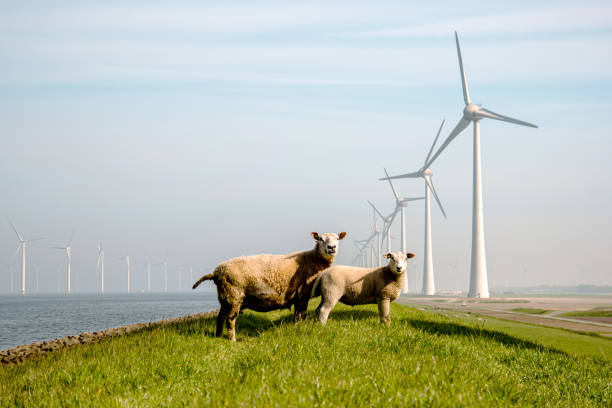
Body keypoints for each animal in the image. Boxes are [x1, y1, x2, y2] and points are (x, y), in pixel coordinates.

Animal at [192, 231, 344, 340]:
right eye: (320, 239)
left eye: (337, 238)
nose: (332, 247)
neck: (312, 259)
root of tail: (216, 272)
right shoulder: (302, 295)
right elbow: (302, 315)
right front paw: (301, 328)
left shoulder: (298, 297)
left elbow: (297, 316)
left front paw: (297, 327)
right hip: (234, 296)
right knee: (230, 320)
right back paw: (232, 340)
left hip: (225, 298)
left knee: (220, 318)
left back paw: (218, 336)